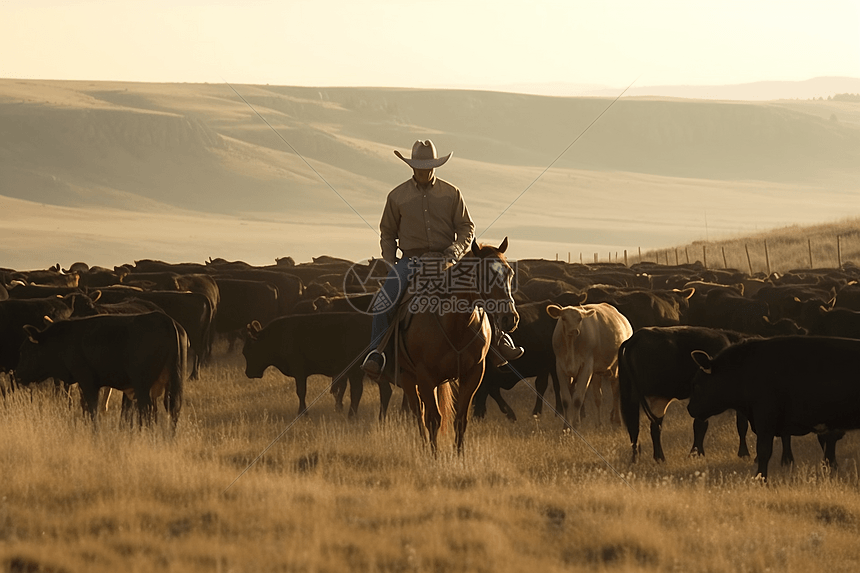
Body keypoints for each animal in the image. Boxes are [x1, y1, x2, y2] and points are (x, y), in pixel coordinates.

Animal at [15, 310, 186, 426]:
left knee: (147, 410)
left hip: (142, 386)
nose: (18, 376)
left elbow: (92, 410)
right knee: (172, 410)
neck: (63, 339)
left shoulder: (87, 382)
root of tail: (167, 321)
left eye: (26, 351)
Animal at [242, 310, 390, 418]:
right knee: (383, 389)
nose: (248, 373)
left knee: (358, 390)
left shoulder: (299, 372)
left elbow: (301, 391)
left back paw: (352, 416)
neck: (276, 336)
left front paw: (303, 412)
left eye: (248, 351)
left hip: (357, 371)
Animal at [394, 237, 516, 452]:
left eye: (510, 273)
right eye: (483, 275)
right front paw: (433, 457)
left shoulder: (473, 374)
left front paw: (460, 455)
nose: (510, 318)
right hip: (408, 376)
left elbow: (460, 420)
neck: (456, 324)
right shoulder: (425, 376)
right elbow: (433, 420)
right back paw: (424, 447)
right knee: (418, 414)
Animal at [688, 336, 860, 478]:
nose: (690, 408)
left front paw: (760, 479)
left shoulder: (765, 419)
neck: (746, 369)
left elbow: (763, 451)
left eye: (697, 384)